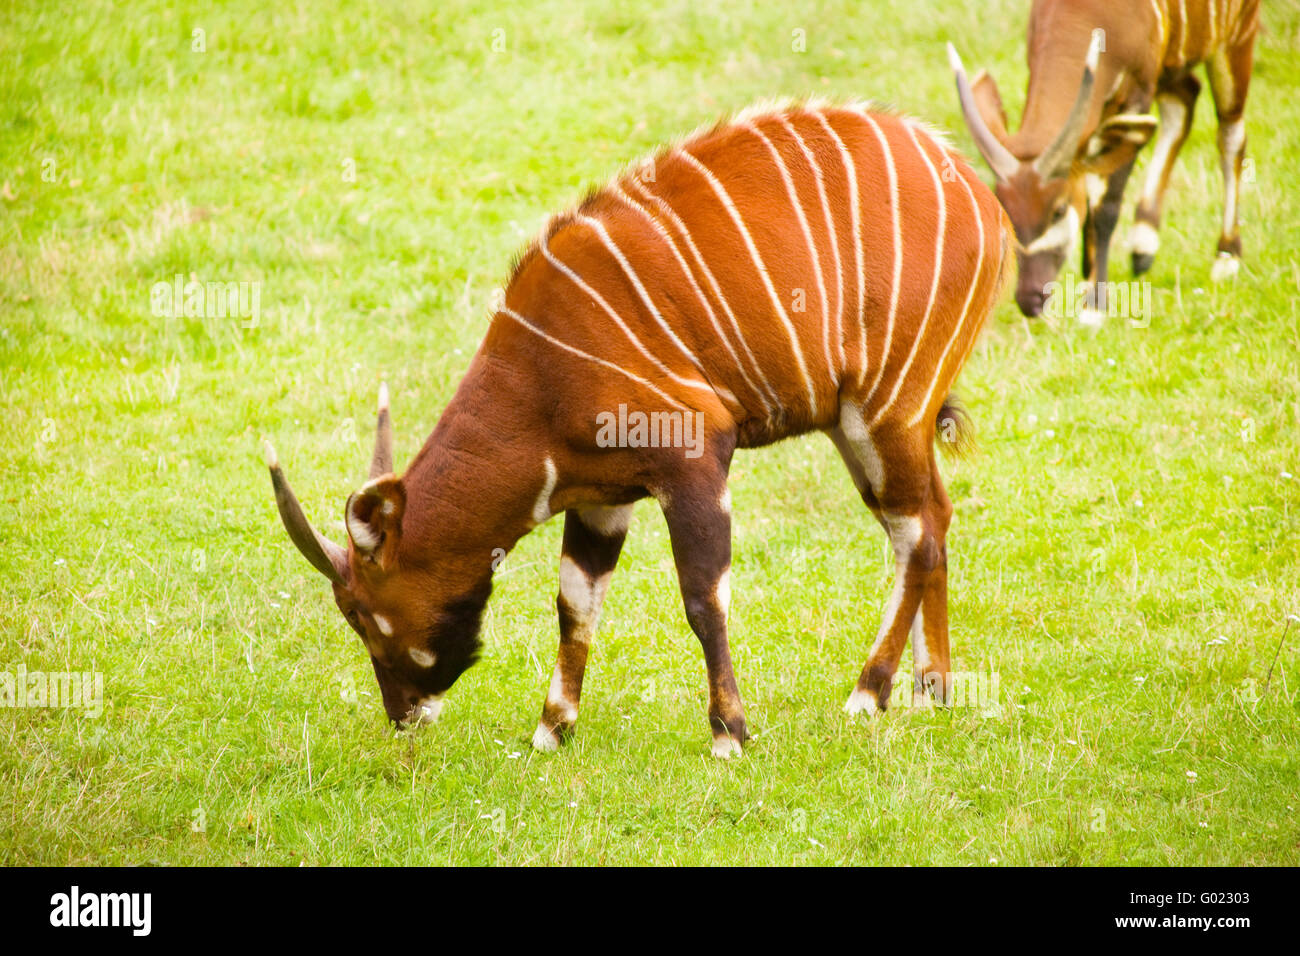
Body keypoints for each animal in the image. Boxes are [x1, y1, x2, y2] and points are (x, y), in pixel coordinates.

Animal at [266, 100, 1014, 757]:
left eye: (361, 613)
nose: (404, 714)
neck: (538, 377)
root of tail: (976, 189)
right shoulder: (600, 498)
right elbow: (575, 602)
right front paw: (551, 730)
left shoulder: (695, 457)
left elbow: (703, 598)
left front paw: (729, 734)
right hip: (865, 424)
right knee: (931, 516)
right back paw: (932, 688)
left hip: (887, 407)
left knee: (916, 533)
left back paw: (869, 692)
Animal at [948, 0, 1260, 320]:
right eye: (1006, 210)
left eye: (1058, 210)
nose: (1029, 299)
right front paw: (1089, 281)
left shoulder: (1138, 92)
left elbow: (1105, 205)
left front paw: (1093, 306)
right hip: (1172, 65)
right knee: (1186, 97)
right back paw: (1143, 245)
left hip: (1235, 39)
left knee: (1230, 133)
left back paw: (1227, 257)